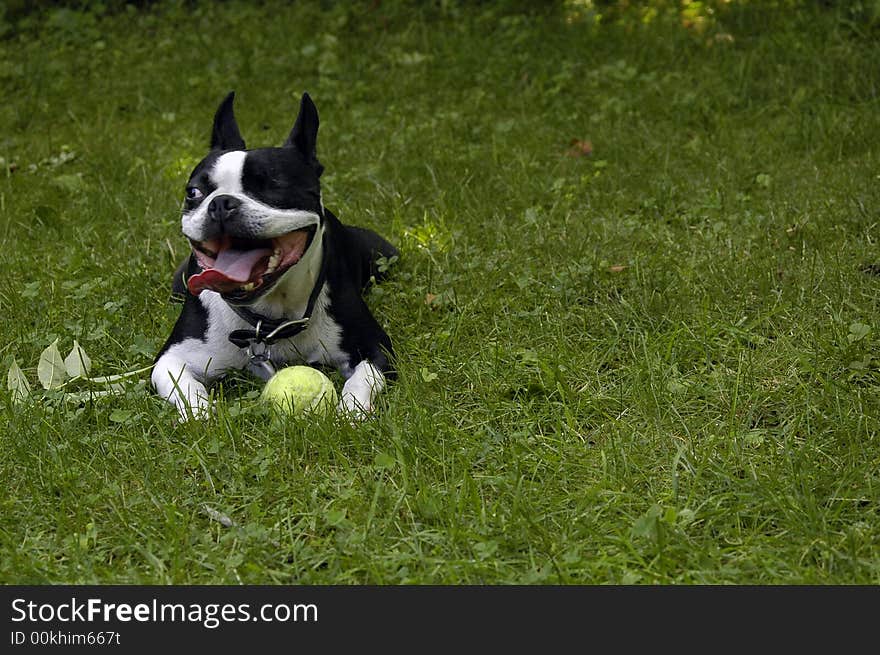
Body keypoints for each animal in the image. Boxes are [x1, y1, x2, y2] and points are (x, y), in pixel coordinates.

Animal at [153, 91, 398, 420]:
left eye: (274, 186)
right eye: (193, 192)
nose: (221, 203)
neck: (269, 317)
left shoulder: (376, 348)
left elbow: (363, 379)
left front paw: (350, 413)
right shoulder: (172, 357)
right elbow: (184, 386)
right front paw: (203, 415)